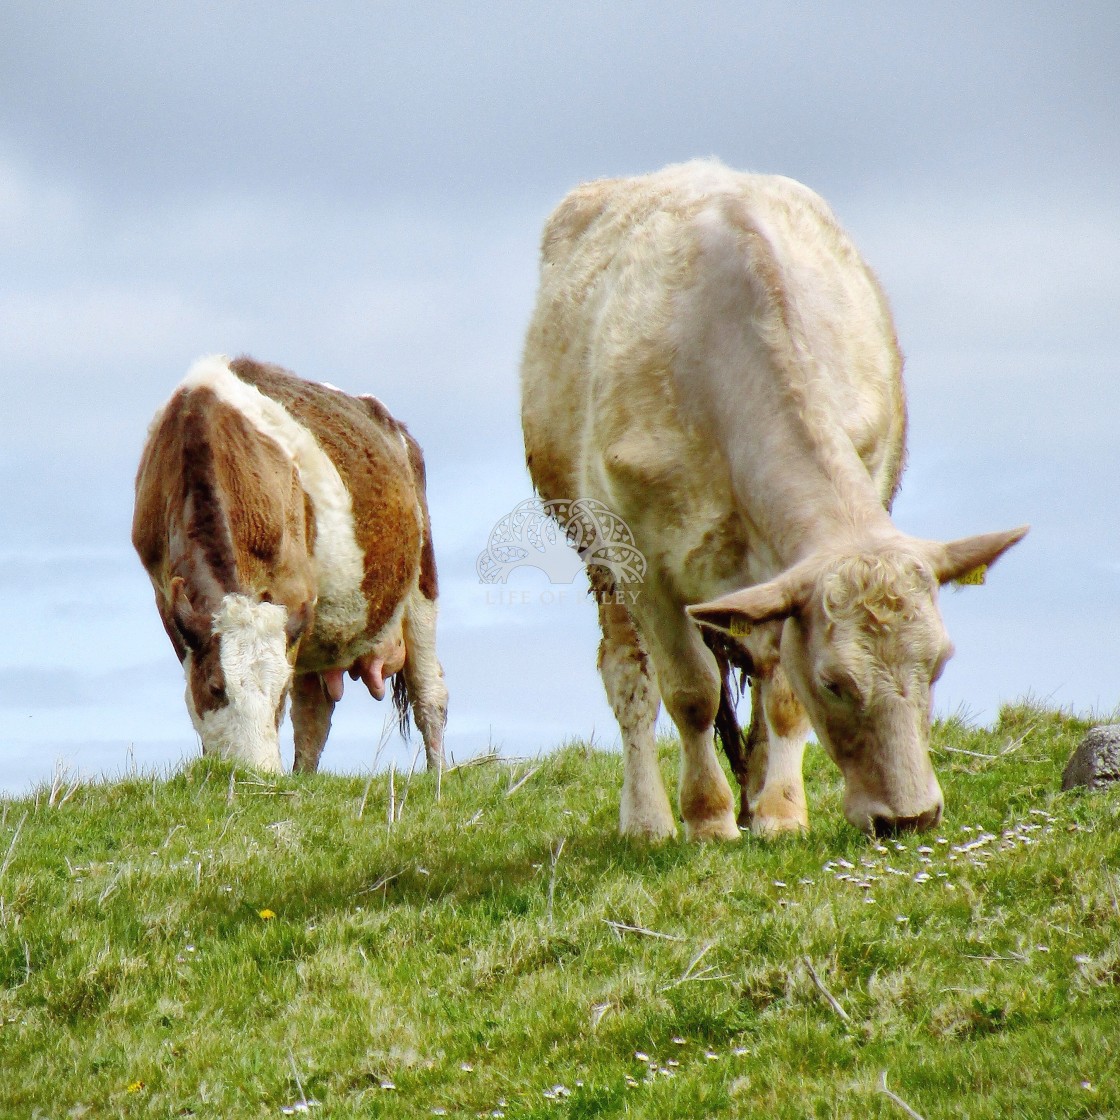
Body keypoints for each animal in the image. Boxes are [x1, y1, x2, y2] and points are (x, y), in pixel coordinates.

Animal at [132, 353, 445, 775]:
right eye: (216, 687)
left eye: (277, 693)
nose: (258, 775)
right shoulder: (166, 596)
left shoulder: (293, 594)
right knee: (316, 712)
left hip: (421, 586)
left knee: (429, 694)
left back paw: (438, 774)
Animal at [519, 157, 1025, 842]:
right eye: (835, 683)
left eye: (940, 662)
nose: (911, 817)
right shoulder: (642, 560)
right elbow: (690, 691)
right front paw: (708, 818)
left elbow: (781, 694)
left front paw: (782, 812)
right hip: (593, 549)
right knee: (629, 676)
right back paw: (649, 820)